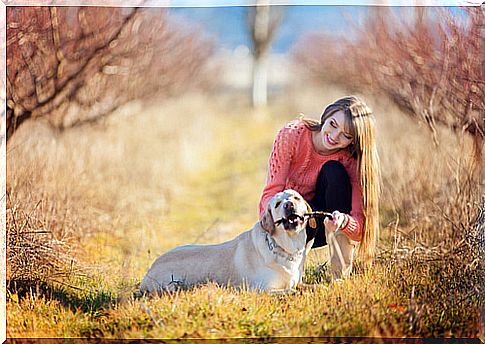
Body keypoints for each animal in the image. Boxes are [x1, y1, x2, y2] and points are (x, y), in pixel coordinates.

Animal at [138, 189, 316, 294]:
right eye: (278, 204)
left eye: (296, 198)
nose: (289, 204)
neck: (286, 247)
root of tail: (149, 271)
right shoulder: (260, 289)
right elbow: (290, 291)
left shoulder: (297, 282)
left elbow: (309, 286)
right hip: (171, 283)